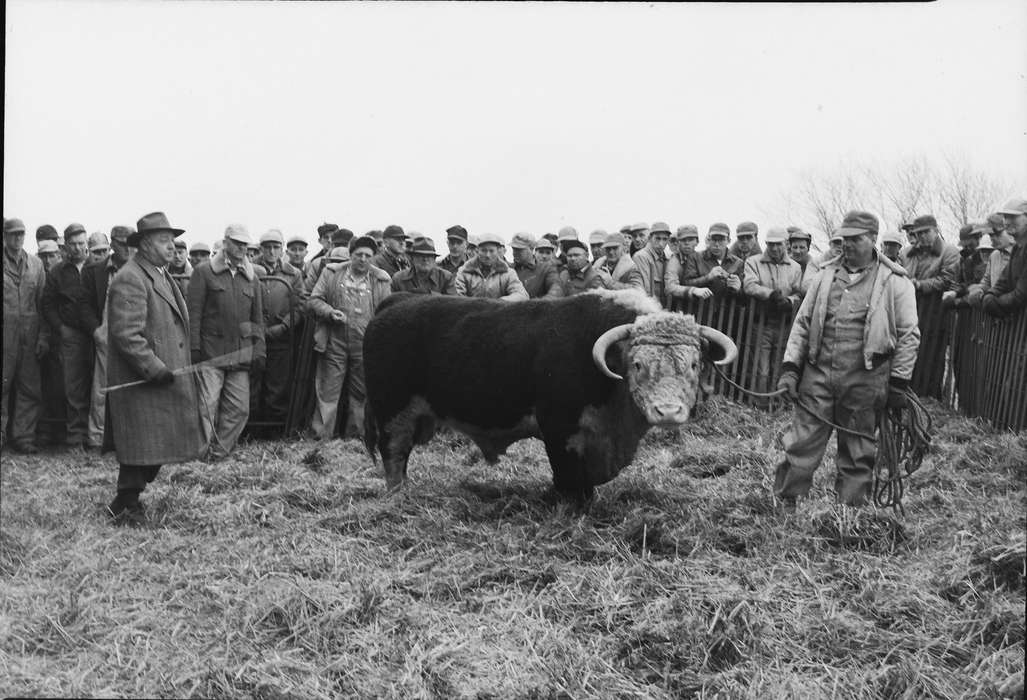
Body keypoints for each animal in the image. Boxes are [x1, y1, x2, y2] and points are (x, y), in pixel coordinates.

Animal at [363, 288, 737, 500]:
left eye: (693, 364)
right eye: (638, 364)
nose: (668, 411)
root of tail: (397, 302)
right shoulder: (559, 430)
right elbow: (569, 478)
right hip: (392, 412)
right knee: (393, 454)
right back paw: (398, 495)